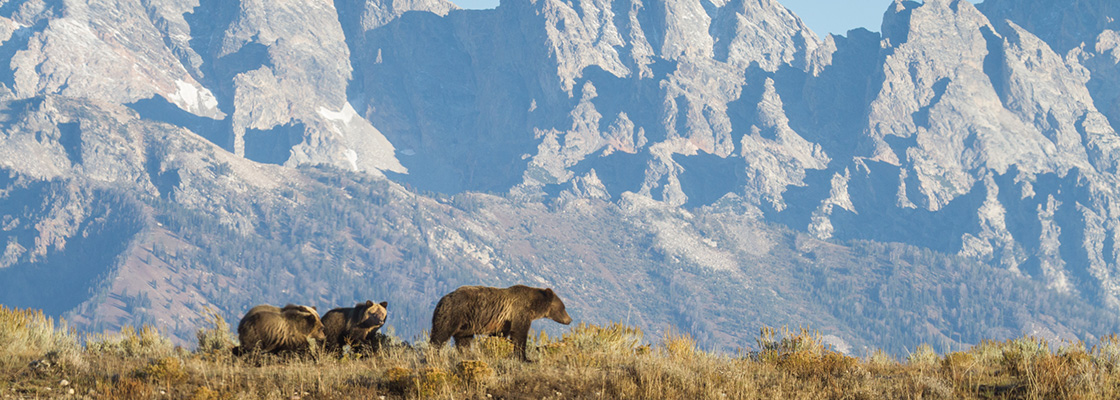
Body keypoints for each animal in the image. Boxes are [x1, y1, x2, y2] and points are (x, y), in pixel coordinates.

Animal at [425, 283, 573, 360]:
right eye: (563, 307)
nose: (570, 320)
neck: (533, 306)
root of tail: (442, 300)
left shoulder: (504, 322)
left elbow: (498, 336)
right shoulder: (519, 312)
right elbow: (519, 334)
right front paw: (524, 358)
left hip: (466, 324)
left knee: (463, 340)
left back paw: (468, 355)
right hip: (454, 313)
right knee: (441, 334)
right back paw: (433, 354)